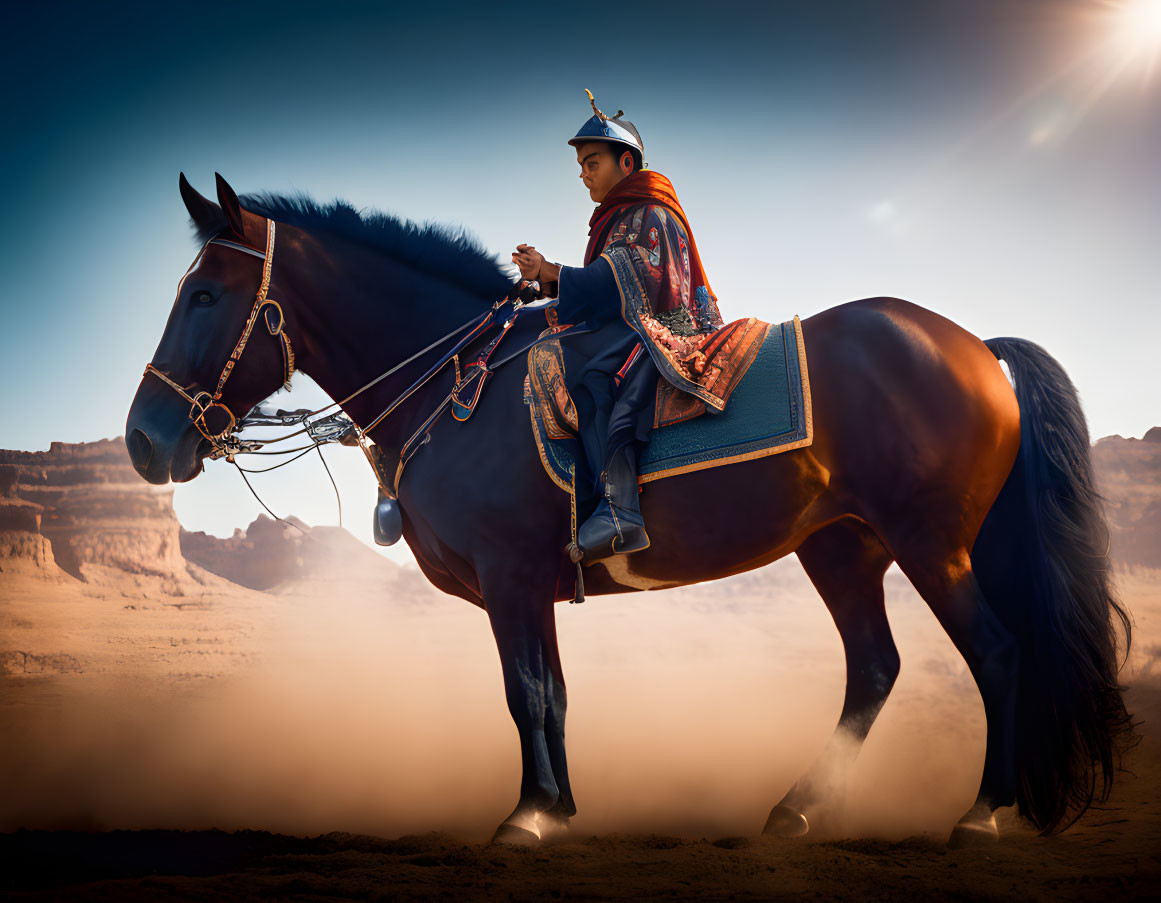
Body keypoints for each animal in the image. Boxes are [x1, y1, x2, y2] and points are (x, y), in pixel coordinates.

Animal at [129, 174, 1133, 844]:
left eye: (206, 293)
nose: (144, 440)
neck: (455, 381)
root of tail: (971, 344)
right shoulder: (531, 584)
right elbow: (555, 693)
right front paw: (560, 808)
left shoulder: (510, 575)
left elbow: (526, 691)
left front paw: (527, 815)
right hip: (841, 547)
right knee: (875, 668)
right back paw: (796, 806)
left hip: (931, 542)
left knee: (995, 652)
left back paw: (981, 812)